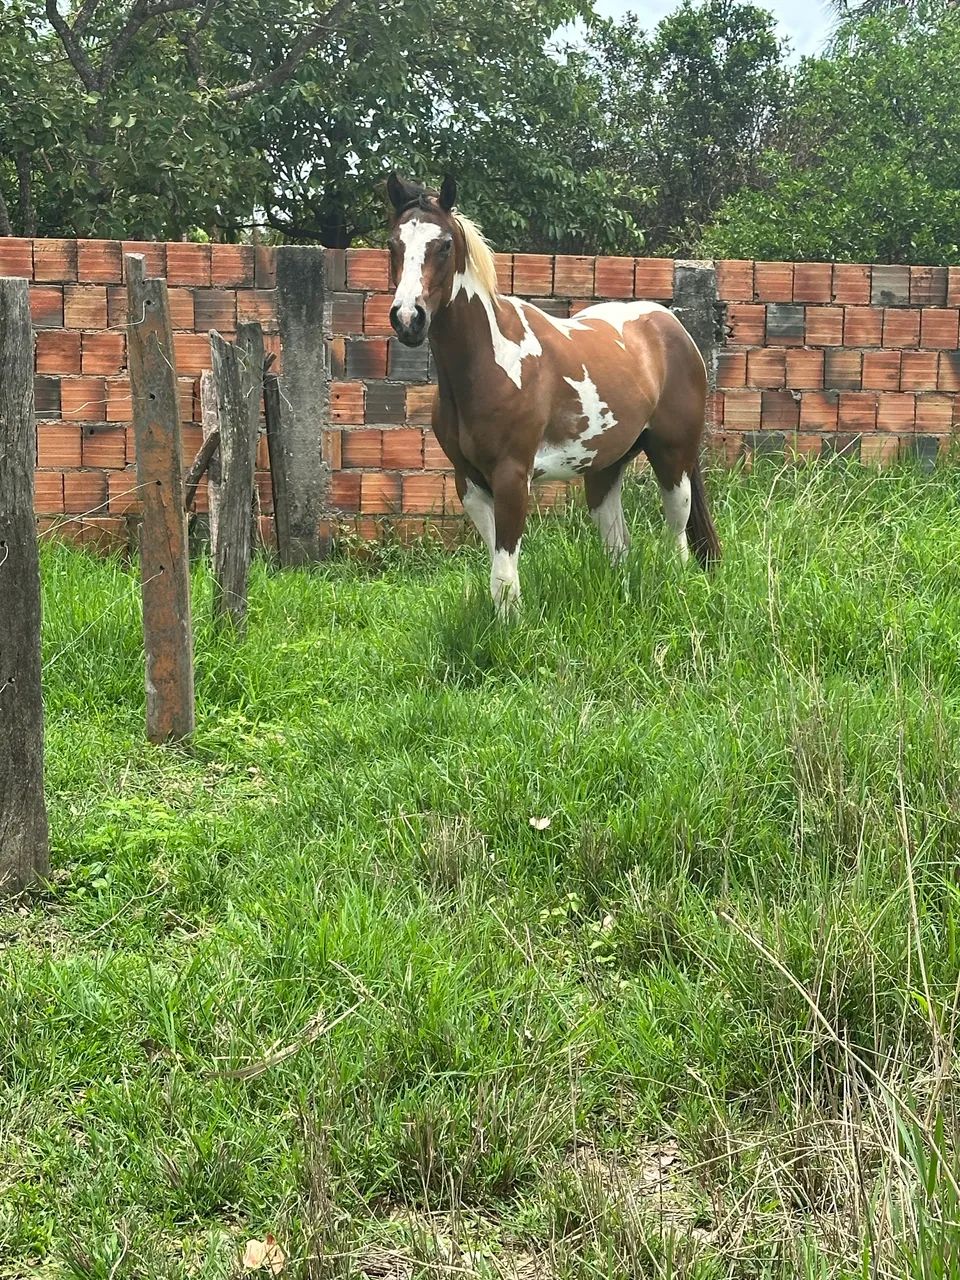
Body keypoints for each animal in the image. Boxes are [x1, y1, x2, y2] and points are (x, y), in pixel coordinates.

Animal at [384, 172, 721, 615]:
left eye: (444, 245)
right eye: (393, 244)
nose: (408, 318)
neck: (490, 362)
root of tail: (672, 326)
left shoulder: (513, 476)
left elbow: (503, 575)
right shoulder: (469, 482)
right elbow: (499, 567)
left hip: (673, 456)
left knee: (677, 535)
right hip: (604, 467)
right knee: (619, 544)